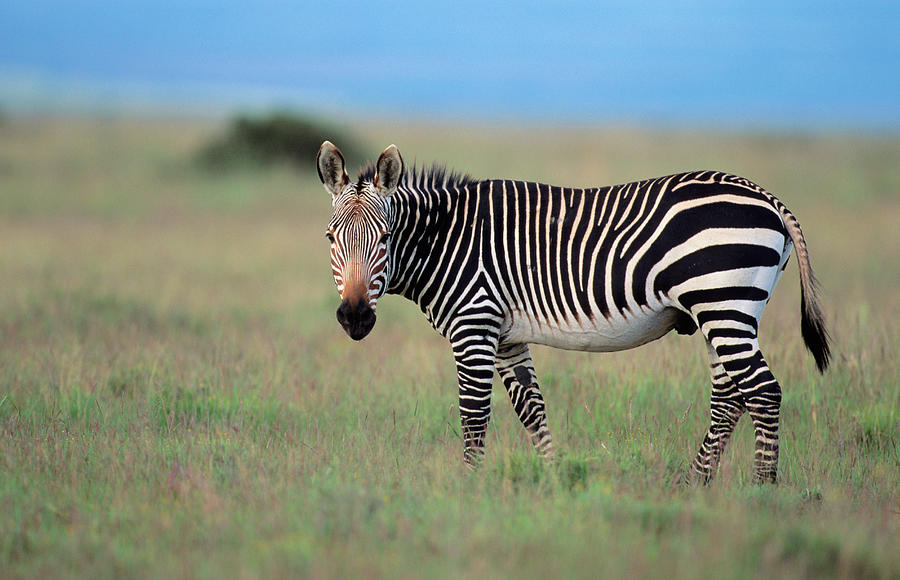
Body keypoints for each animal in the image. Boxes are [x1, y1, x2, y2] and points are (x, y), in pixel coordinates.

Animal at [318, 140, 828, 484]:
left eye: (385, 238)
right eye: (330, 237)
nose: (355, 317)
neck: (446, 242)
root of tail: (767, 196)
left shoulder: (474, 325)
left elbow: (474, 413)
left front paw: (468, 488)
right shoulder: (507, 336)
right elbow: (531, 409)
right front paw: (554, 479)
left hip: (724, 302)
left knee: (762, 392)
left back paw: (762, 491)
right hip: (721, 311)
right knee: (728, 397)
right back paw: (694, 485)